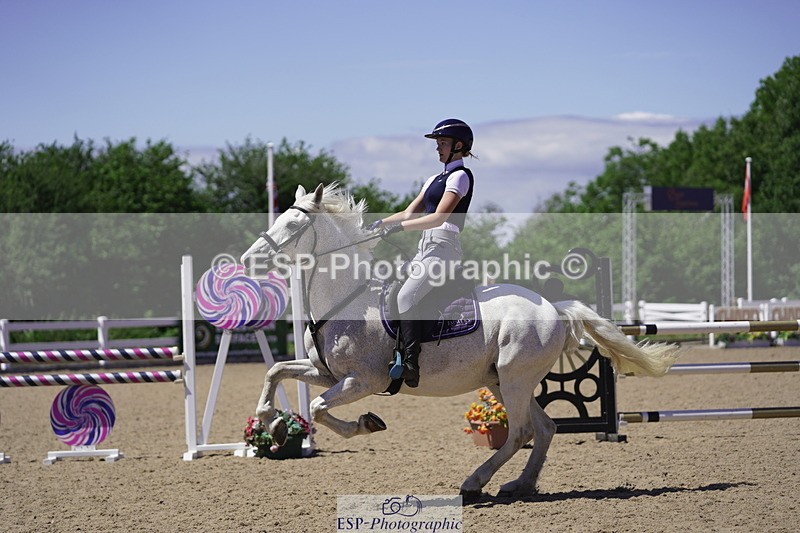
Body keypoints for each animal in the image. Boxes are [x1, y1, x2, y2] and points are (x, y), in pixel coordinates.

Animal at [240, 183, 680, 500]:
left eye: (293, 226)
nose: (248, 260)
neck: (348, 299)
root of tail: (554, 307)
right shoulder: (324, 373)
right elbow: (275, 371)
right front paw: (272, 424)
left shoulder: (361, 382)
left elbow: (318, 408)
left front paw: (365, 424)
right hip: (502, 381)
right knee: (546, 428)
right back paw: (519, 485)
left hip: (514, 379)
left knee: (521, 432)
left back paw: (474, 484)